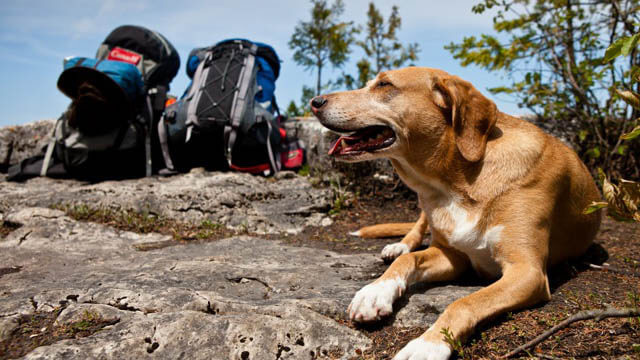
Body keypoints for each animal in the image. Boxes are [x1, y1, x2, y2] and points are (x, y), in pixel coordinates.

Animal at [310, 67, 600, 358]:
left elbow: (465, 302)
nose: (315, 102)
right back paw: (399, 245)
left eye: (384, 84)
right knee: (416, 230)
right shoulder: (453, 255)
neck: (455, 182)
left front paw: (427, 344)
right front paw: (376, 290)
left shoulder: (526, 271)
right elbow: (408, 260)